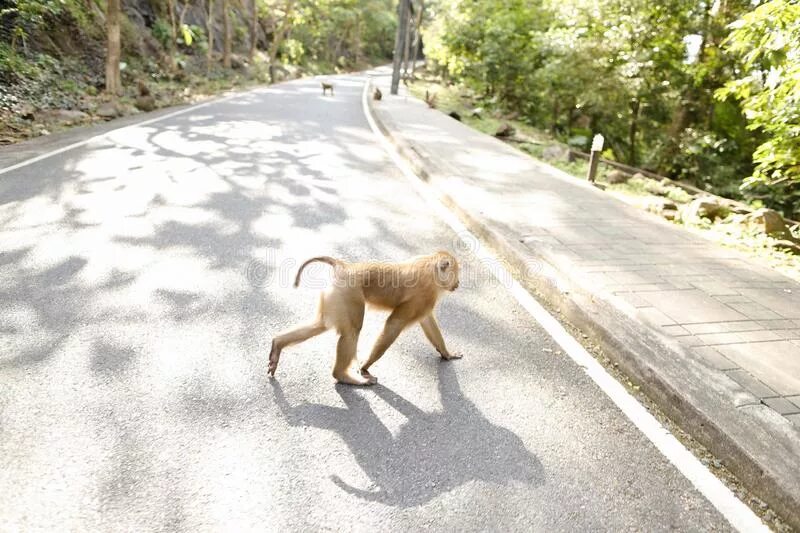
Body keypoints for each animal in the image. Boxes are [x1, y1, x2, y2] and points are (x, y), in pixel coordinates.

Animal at [268, 251, 460, 384]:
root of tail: (344, 267)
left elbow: (427, 321)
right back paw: (342, 376)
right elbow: (394, 323)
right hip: (348, 294)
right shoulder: (424, 294)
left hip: (335, 296)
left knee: (321, 324)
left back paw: (278, 344)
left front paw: (447, 354)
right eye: (456, 272)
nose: (458, 283)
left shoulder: (425, 301)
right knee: (352, 331)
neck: (431, 267)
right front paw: (366, 365)